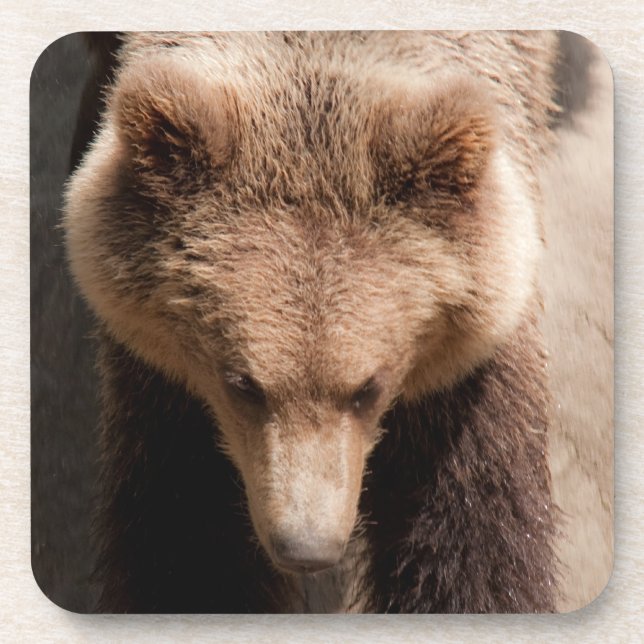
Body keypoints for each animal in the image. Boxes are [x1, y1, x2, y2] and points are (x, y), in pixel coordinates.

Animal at [63, 31, 560, 613]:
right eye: (242, 384)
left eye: (368, 387)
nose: (306, 548)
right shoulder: (168, 383)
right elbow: (187, 535)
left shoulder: (466, 370)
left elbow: (476, 534)